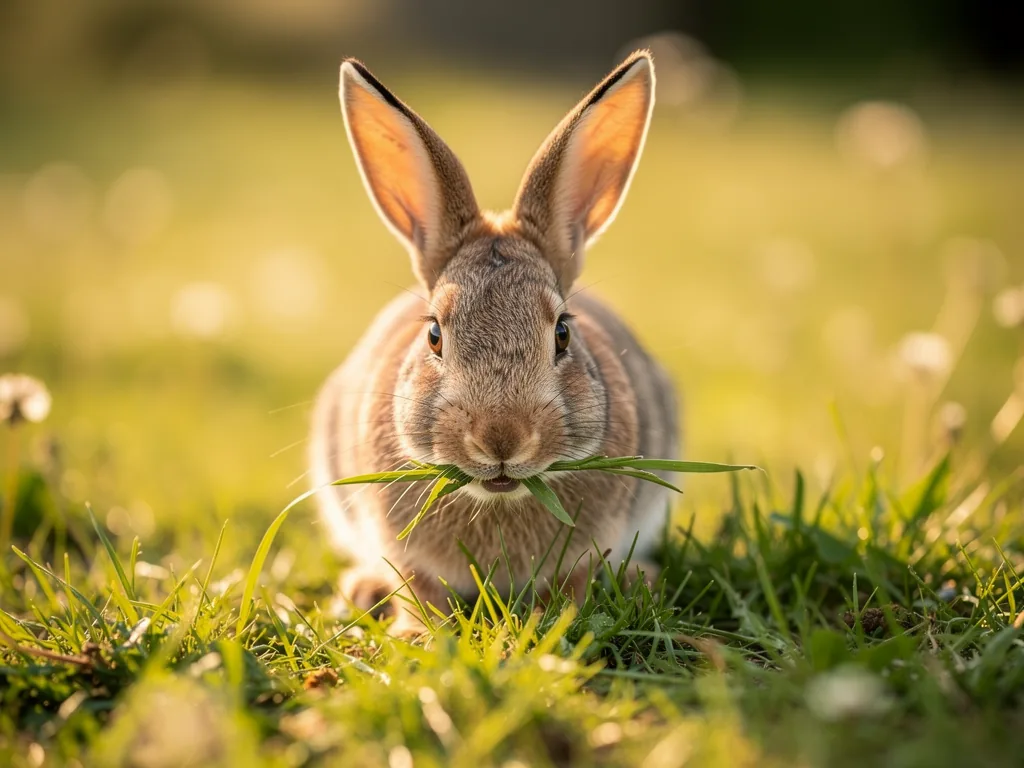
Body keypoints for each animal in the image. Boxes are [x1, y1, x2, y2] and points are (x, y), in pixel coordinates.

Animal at [310, 50, 679, 633]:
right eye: (434, 334)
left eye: (562, 332)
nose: (501, 438)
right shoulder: (399, 546)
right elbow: (416, 587)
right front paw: (420, 634)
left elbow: (573, 585)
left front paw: (553, 623)